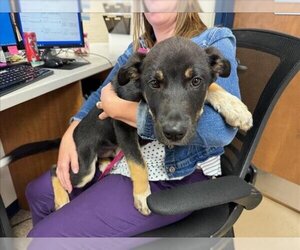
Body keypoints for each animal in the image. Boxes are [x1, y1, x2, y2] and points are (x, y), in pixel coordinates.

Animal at [0, 36, 252, 216]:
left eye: (196, 81)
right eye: (154, 83)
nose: (174, 133)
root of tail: (76, 133)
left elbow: (214, 87)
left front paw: (236, 108)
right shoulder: (121, 127)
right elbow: (138, 163)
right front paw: (141, 195)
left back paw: (104, 165)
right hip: (83, 167)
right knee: (55, 169)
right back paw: (61, 199)